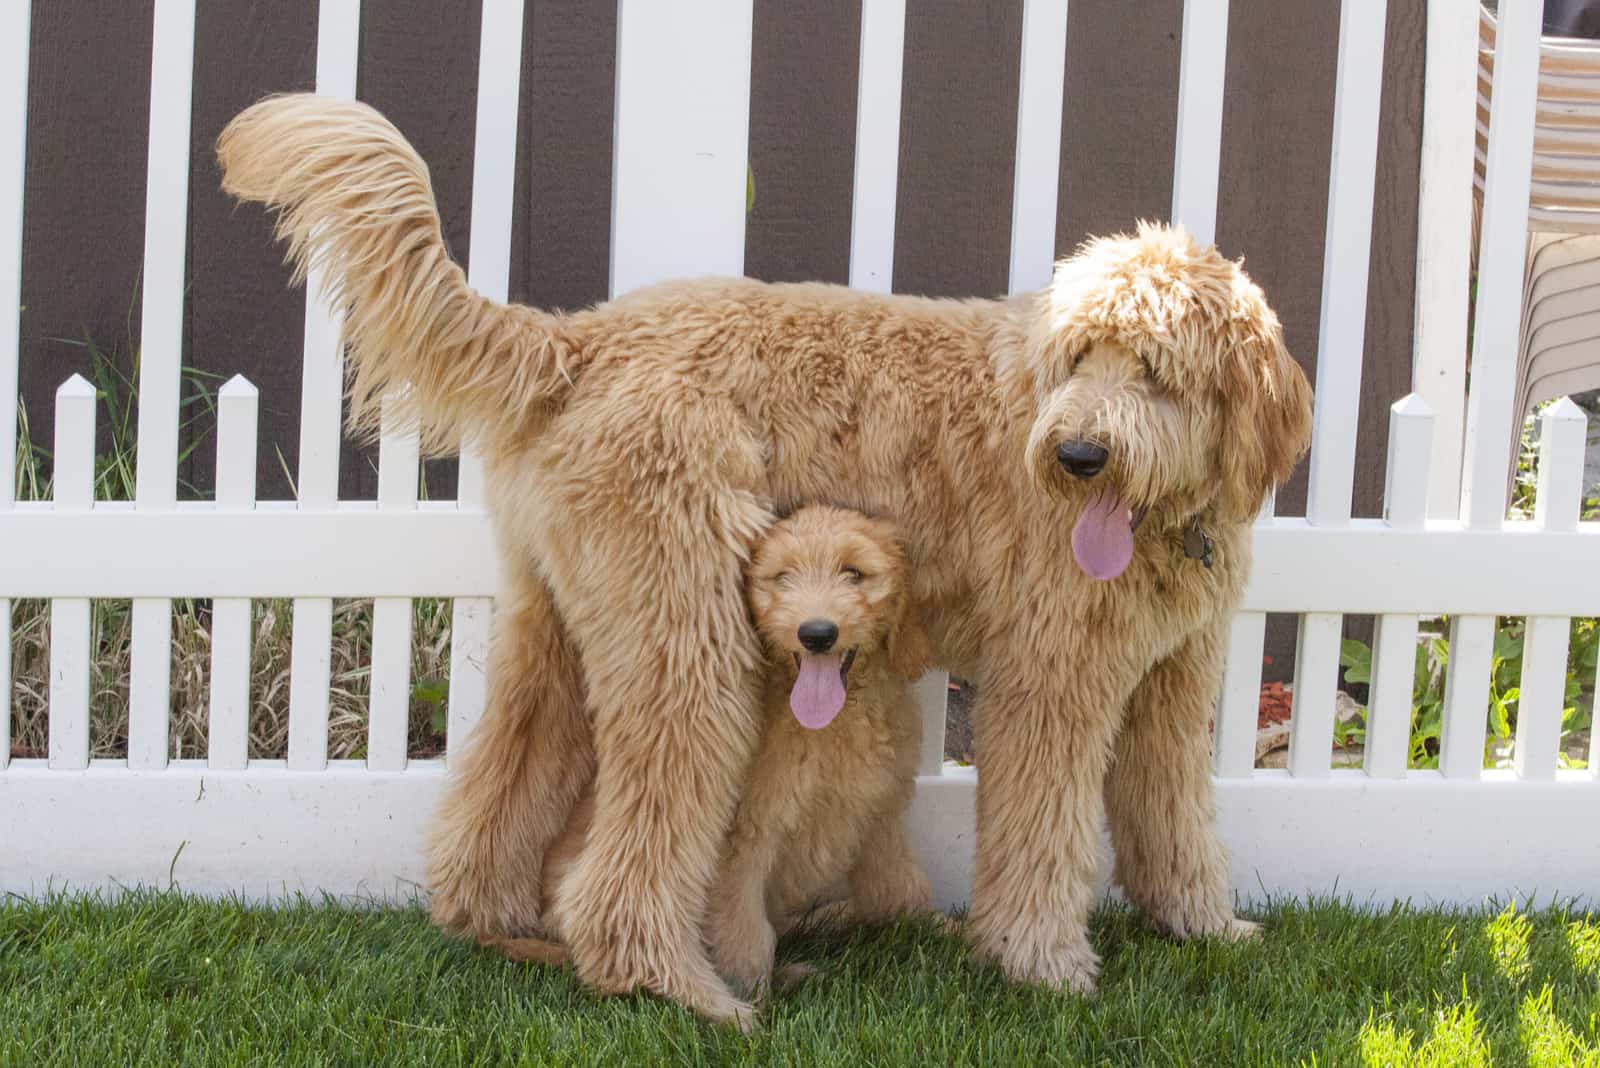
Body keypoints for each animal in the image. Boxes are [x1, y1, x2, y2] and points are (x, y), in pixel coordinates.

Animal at [216, 95, 1312, 1023]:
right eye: (1078, 357)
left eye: (1154, 369)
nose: (1078, 456)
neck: (1166, 517)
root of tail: (576, 341)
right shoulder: (1051, 683)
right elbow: (1043, 837)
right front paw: (1045, 968)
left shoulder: (1172, 682)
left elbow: (1175, 816)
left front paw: (1204, 926)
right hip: (688, 643)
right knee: (629, 860)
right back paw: (683, 990)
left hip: (560, 631)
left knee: (498, 795)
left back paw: (500, 932)